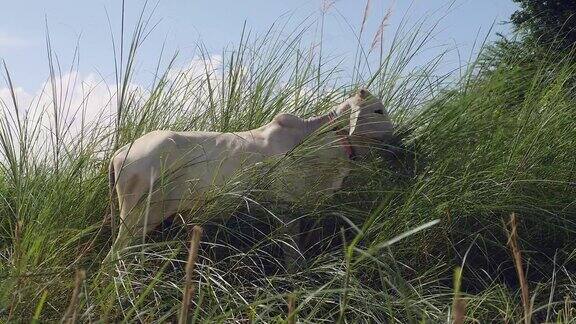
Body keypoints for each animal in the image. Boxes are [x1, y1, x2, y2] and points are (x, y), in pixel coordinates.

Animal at [104, 88, 392, 264]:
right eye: (378, 110)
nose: (397, 135)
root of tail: (120, 152)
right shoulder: (286, 210)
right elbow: (293, 257)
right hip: (136, 217)